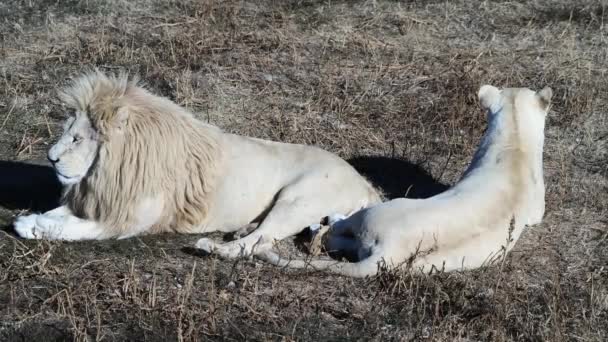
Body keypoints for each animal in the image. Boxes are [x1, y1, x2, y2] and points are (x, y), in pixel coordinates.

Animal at [15, 70, 380, 260]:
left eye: (76, 138)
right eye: (67, 132)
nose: (51, 158)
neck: (106, 170)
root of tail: (366, 185)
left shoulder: (129, 219)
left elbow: (75, 229)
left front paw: (34, 226)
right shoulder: (103, 202)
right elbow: (60, 214)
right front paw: (32, 220)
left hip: (297, 200)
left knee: (253, 244)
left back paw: (212, 246)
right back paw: (243, 227)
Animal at [258, 84, 552, 276]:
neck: (515, 138)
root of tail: (389, 252)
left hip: (374, 214)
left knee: (334, 232)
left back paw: (326, 222)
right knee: (334, 239)